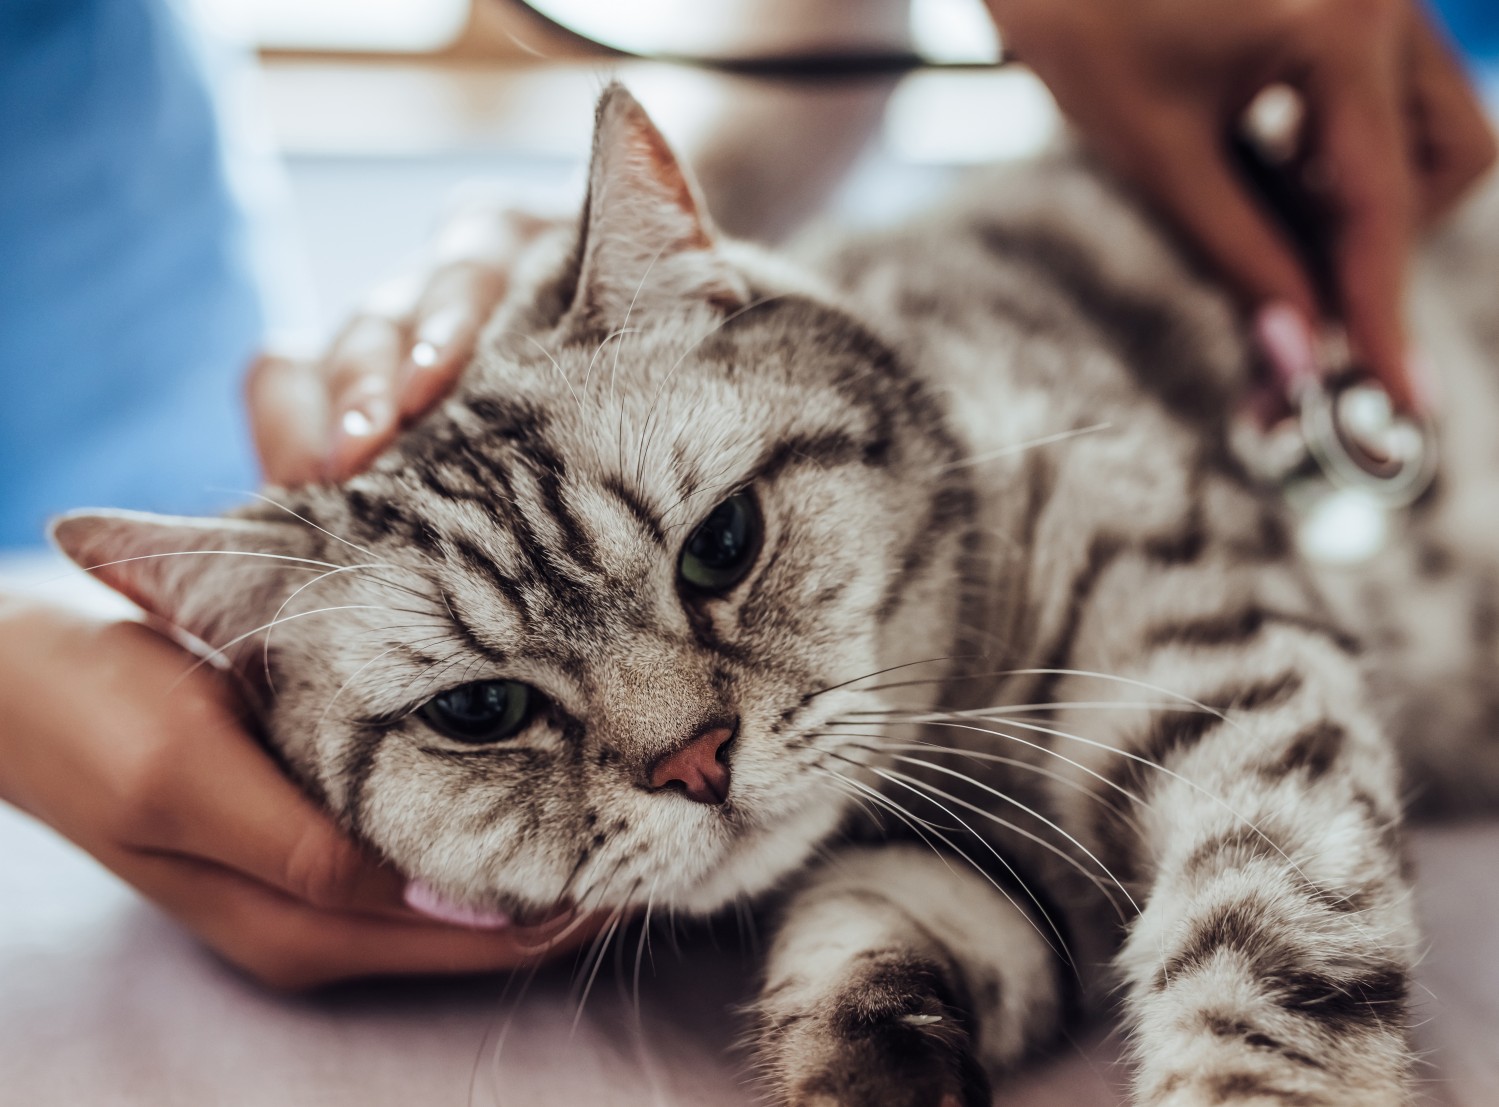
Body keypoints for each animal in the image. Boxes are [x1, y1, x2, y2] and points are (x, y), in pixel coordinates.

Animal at [52, 84, 1499, 1104]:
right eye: (478, 710)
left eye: (722, 543)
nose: (694, 760)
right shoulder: (955, 870)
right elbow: (852, 955)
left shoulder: (1229, 682)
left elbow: (1256, 953)